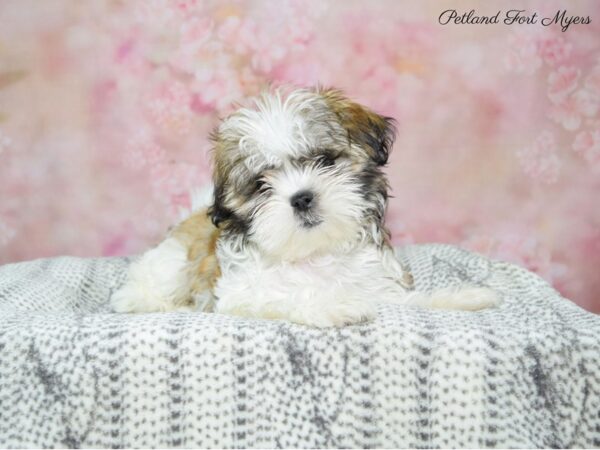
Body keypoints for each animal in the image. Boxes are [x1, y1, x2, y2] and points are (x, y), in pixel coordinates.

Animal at [110, 86, 500, 326]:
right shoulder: (241, 296)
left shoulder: (377, 283)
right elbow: (288, 297)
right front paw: (336, 305)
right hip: (169, 264)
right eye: (261, 185)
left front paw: (460, 297)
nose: (301, 198)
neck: (314, 253)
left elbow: (405, 300)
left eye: (324, 160)